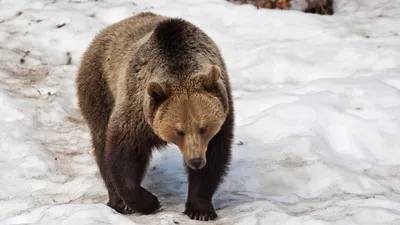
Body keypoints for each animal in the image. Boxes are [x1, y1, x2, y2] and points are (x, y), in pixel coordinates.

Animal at [75, 11, 234, 221]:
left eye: (204, 128)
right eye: (179, 130)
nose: (196, 161)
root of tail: (105, 31)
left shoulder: (222, 114)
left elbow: (215, 157)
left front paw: (200, 210)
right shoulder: (136, 111)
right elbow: (122, 154)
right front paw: (148, 202)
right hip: (99, 87)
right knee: (101, 142)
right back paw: (118, 202)